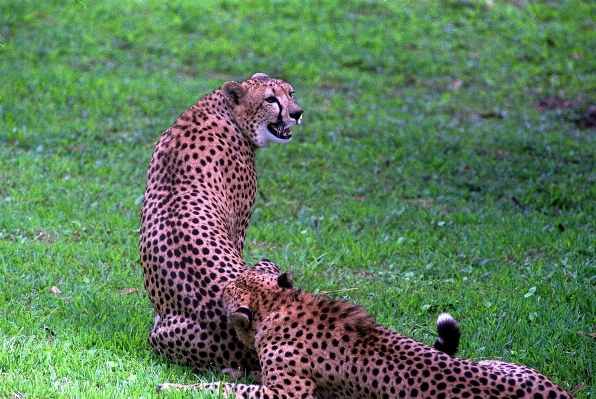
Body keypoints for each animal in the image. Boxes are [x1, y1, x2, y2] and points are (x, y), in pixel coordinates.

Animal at [158, 262, 572, 399]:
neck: (279, 305)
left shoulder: (291, 394)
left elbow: (227, 389)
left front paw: (173, 386)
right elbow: (242, 376)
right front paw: (229, 368)